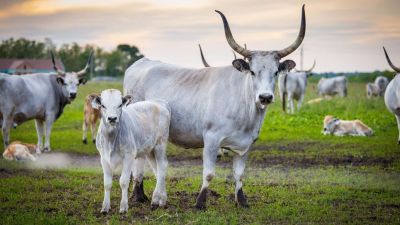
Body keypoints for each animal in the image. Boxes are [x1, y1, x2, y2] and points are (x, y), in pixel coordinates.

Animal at [125, 5, 306, 209]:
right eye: (252, 72)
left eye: (276, 72)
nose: (265, 97)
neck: (244, 111)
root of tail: (141, 63)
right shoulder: (211, 140)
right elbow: (209, 173)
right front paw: (200, 202)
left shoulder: (246, 144)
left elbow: (239, 174)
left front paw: (242, 201)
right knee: (138, 161)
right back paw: (140, 195)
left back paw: (143, 195)